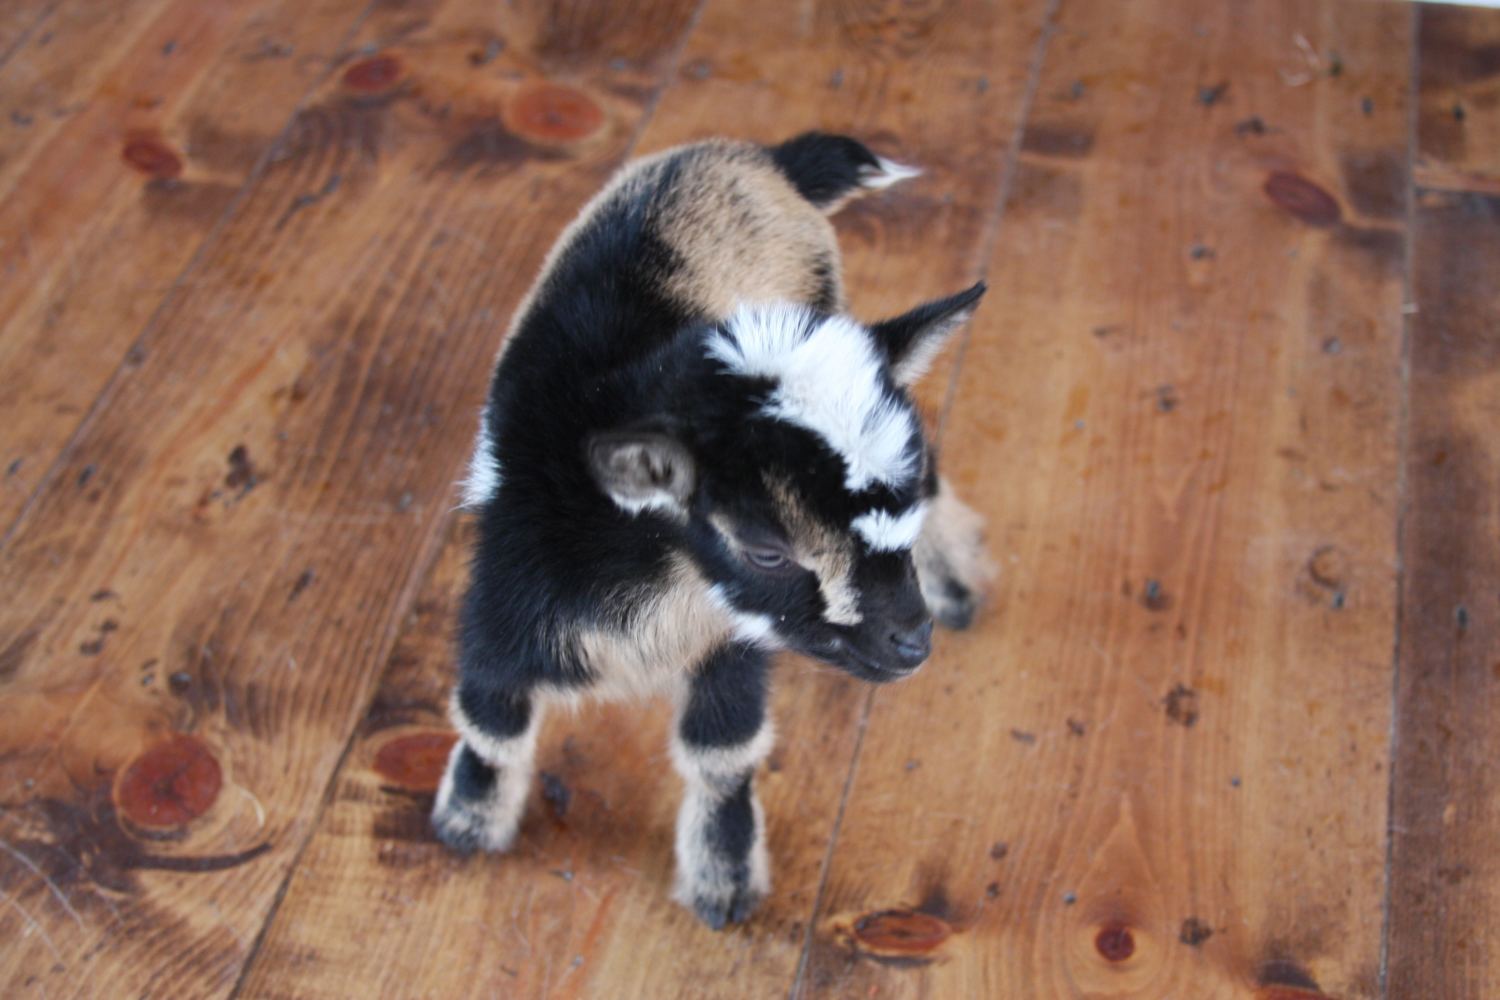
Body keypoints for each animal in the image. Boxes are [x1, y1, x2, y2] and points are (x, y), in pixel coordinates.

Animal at [433, 133, 992, 928]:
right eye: (767, 551)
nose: (912, 644)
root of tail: (764, 158)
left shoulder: (730, 644)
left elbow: (724, 753)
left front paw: (723, 881)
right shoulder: (505, 596)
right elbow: (491, 716)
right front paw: (469, 821)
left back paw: (955, 583)